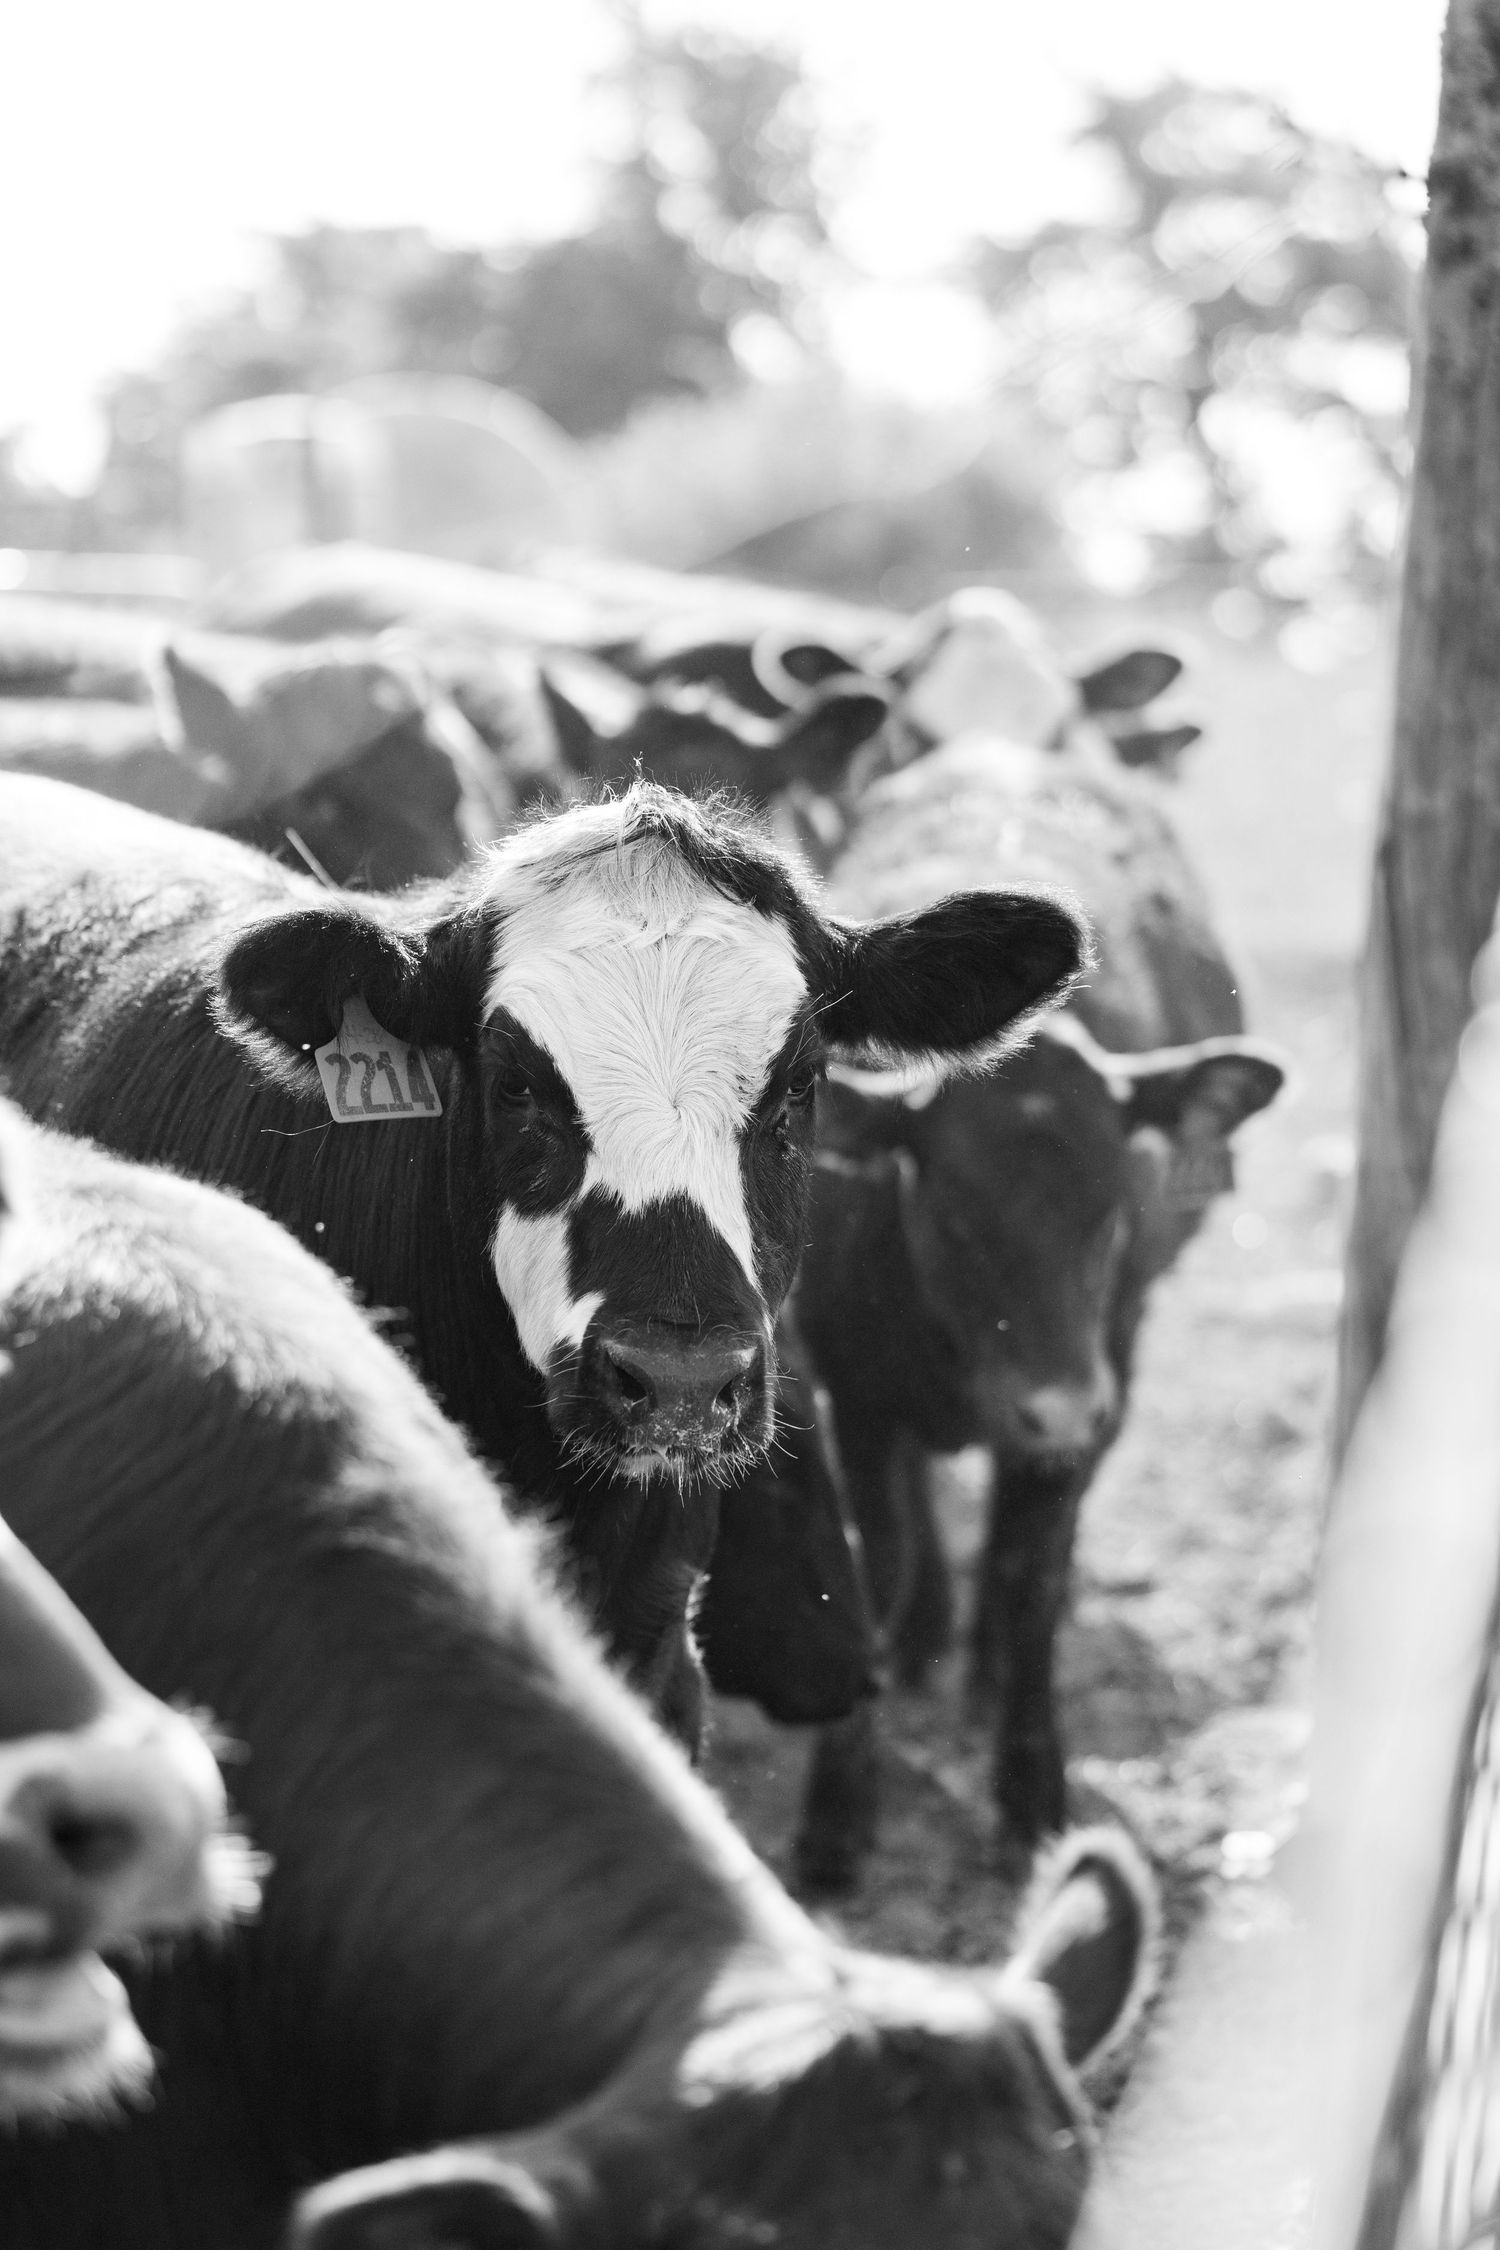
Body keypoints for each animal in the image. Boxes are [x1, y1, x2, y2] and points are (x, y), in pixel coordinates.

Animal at [790, 734, 1285, 1888]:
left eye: (1115, 1218)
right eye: (955, 1218)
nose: (1056, 1408)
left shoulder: (1109, 1379)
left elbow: (1030, 1585)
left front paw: (1032, 1791)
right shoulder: (849, 1383)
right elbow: (874, 1567)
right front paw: (839, 1813)